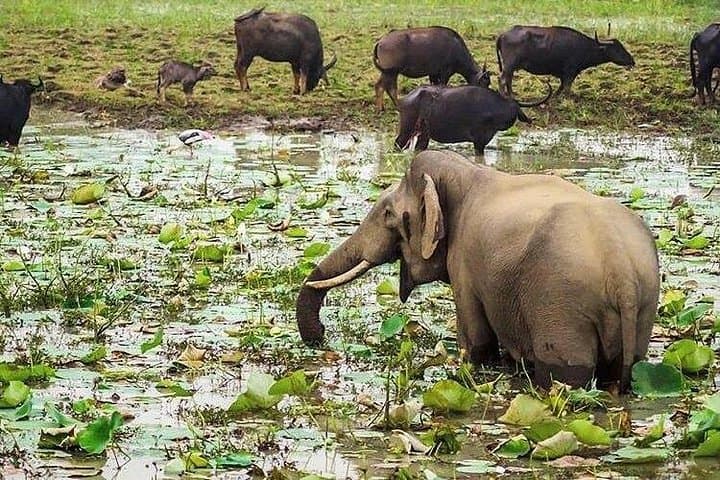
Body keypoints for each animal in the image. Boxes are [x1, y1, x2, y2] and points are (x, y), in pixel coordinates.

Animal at [296, 150, 660, 391]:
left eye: (388, 214)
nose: (322, 334)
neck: (467, 172)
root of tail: (622, 273)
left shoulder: (465, 266)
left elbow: (476, 340)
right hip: (642, 307)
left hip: (561, 307)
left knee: (566, 375)